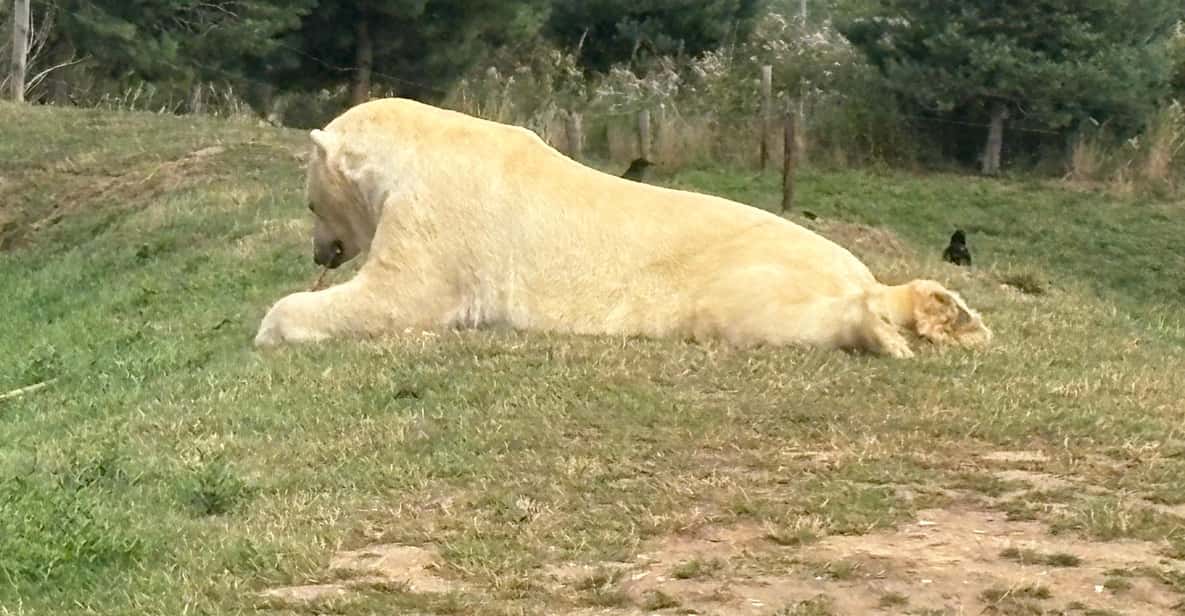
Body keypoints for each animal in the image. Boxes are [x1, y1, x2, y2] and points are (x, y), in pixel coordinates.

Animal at [254, 98, 992, 358]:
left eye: (311, 204)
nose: (321, 251)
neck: (419, 146)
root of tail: (853, 268)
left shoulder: (440, 214)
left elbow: (399, 295)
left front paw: (270, 324)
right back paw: (953, 317)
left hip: (740, 272)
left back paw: (881, 331)